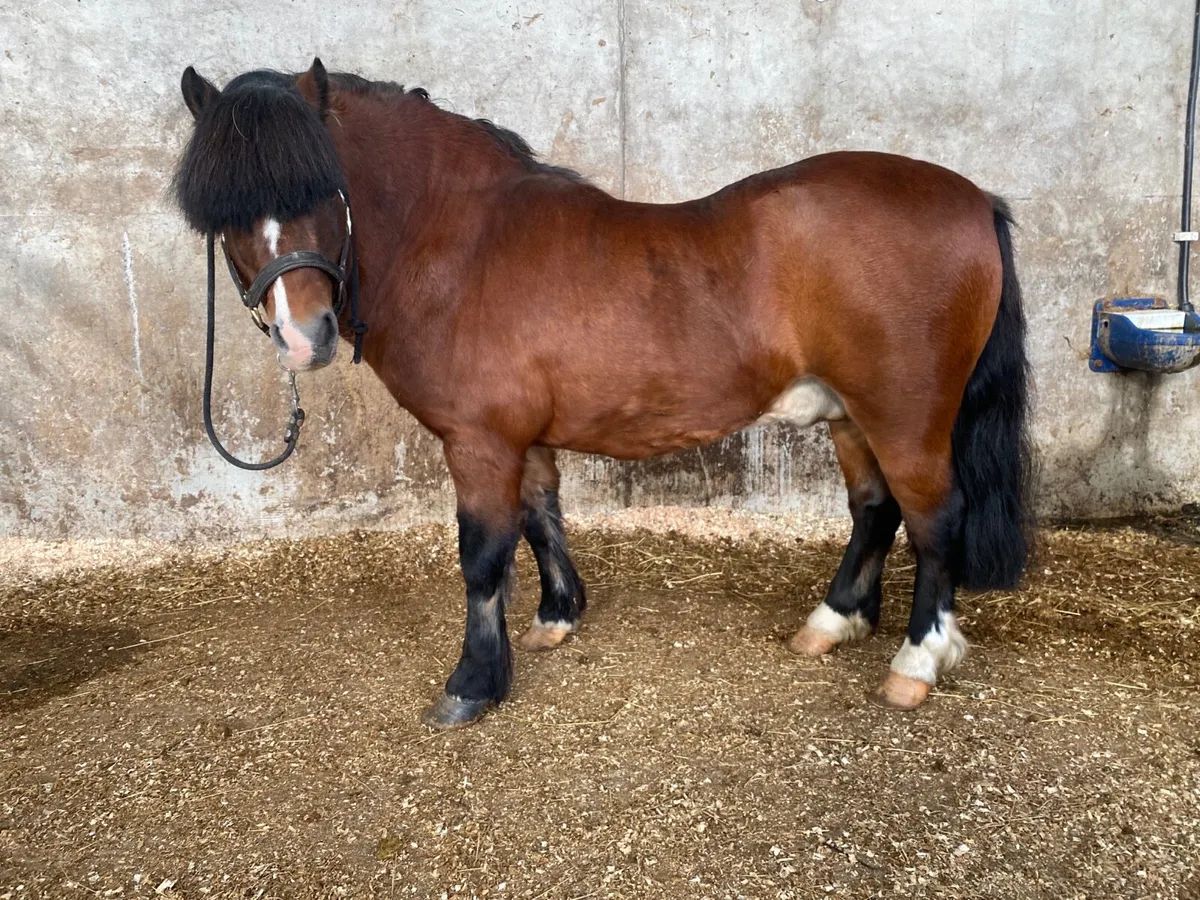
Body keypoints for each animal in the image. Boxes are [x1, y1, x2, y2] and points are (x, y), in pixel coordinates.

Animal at [172, 59, 1032, 729]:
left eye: (325, 187)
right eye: (224, 211)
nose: (303, 337)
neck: (461, 242)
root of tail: (975, 200)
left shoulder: (478, 441)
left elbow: (482, 556)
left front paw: (472, 683)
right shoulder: (521, 438)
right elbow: (540, 517)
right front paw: (556, 617)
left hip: (907, 415)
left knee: (935, 520)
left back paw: (915, 663)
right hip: (850, 412)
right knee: (875, 509)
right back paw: (831, 622)